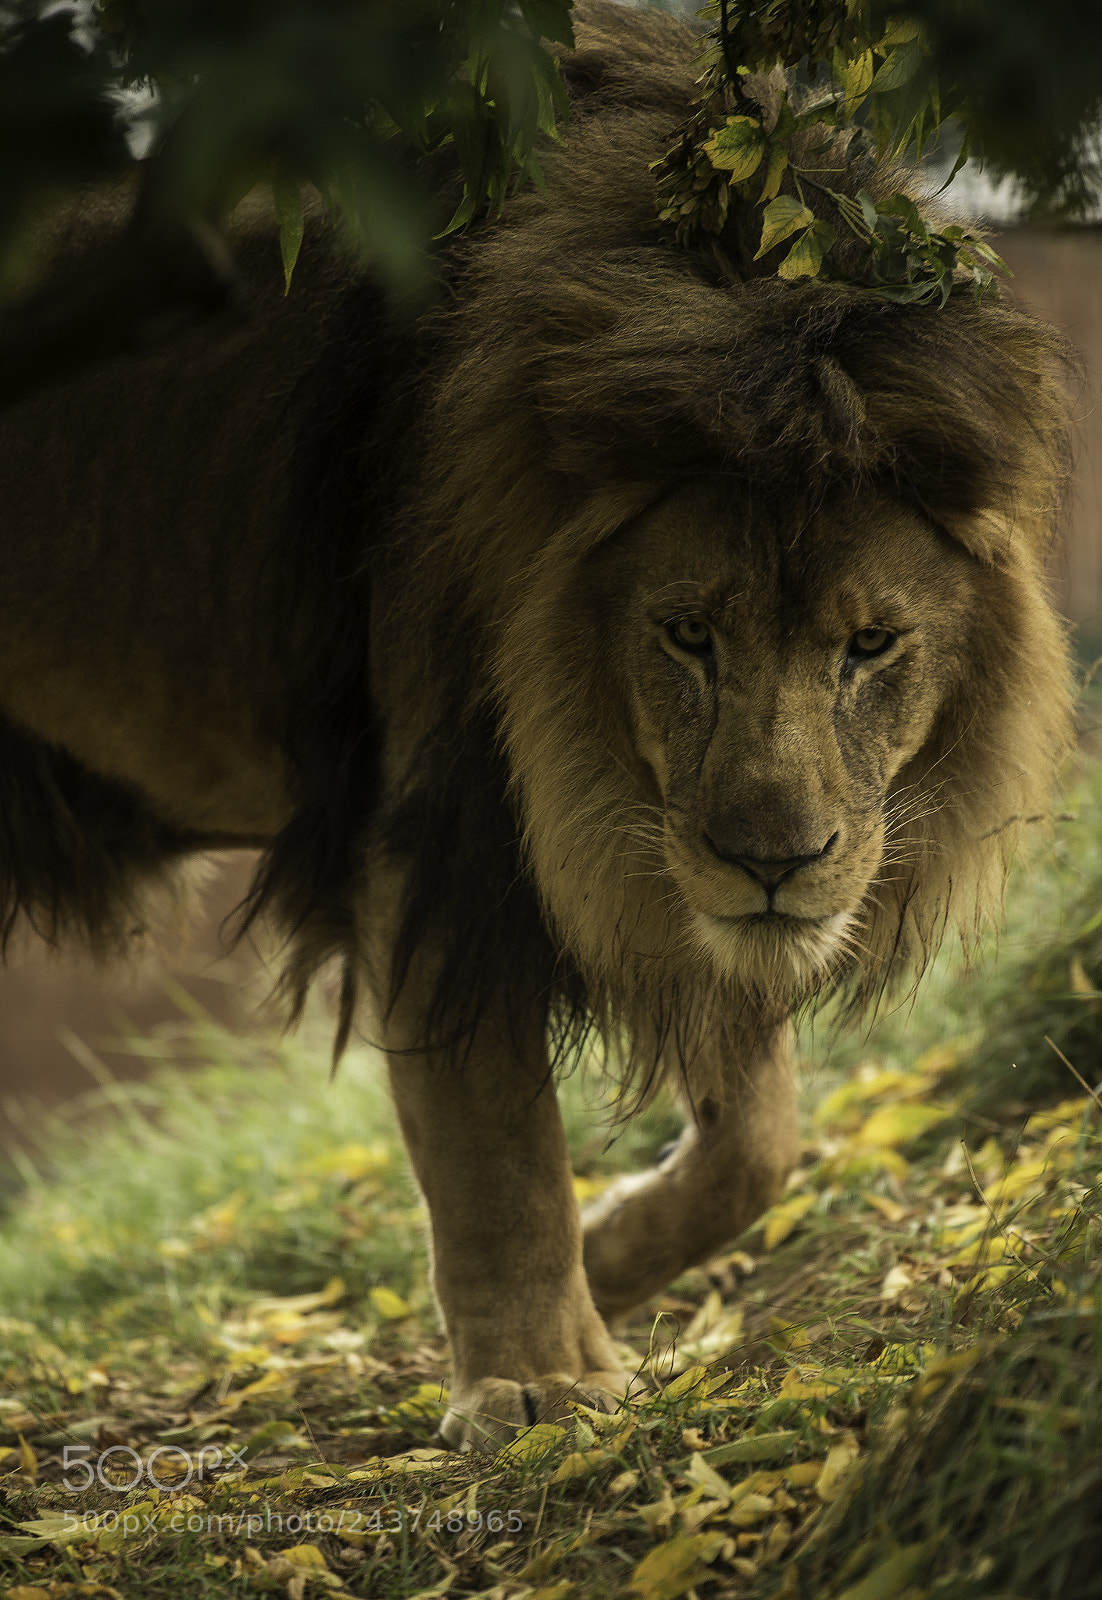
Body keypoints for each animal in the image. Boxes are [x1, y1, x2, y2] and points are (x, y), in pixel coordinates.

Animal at [0, 0, 1076, 1449]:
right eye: (686, 635)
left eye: (868, 646)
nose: (773, 862)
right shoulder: (432, 837)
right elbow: (496, 1141)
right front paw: (537, 1380)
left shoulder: (692, 882)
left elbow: (760, 1132)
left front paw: (614, 1258)